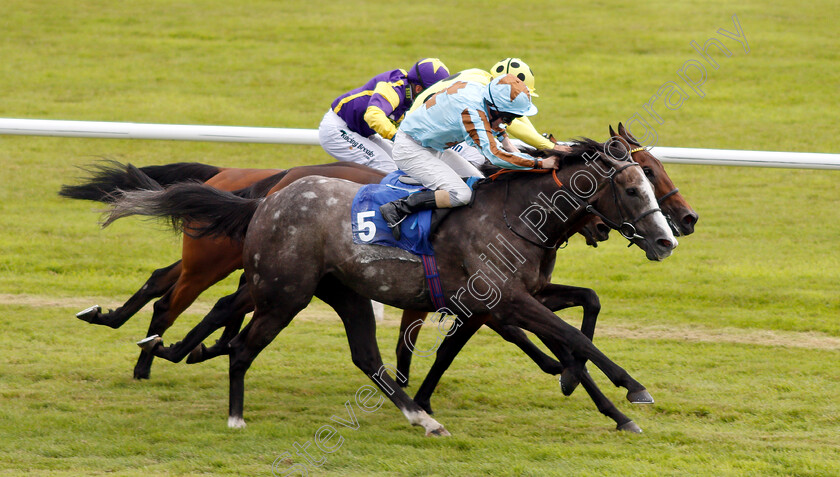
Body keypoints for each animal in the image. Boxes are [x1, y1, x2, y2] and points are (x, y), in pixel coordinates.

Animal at [100, 139, 676, 436]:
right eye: (634, 187)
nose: (668, 237)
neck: (516, 216)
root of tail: (266, 198)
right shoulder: (505, 300)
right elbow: (572, 339)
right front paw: (631, 391)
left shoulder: (515, 298)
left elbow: (581, 318)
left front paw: (602, 399)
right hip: (285, 293)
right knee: (237, 336)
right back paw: (225, 404)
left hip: (341, 292)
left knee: (364, 356)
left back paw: (419, 417)